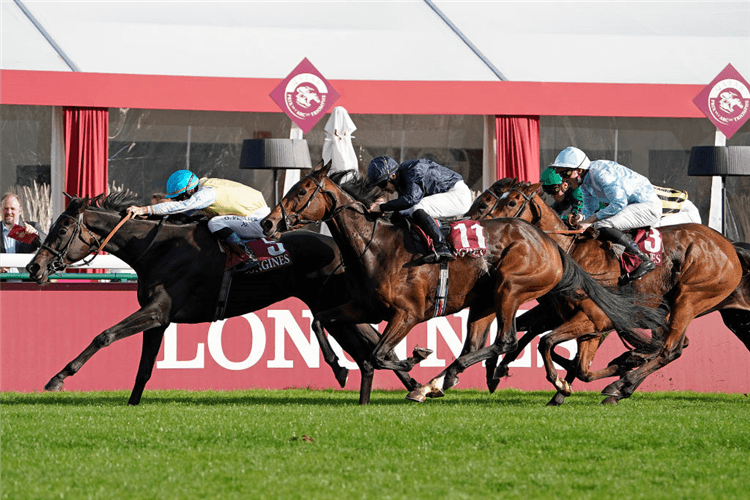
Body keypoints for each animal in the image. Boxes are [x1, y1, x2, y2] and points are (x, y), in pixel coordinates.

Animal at [26, 189, 424, 404]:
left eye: (62, 227)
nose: (33, 267)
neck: (156, 248)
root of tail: (348, 246)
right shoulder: (159, 319)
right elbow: (144, 368)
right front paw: (133, 402)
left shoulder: (158, 310)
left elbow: (104, 335)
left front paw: (58, 378)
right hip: (334, 306)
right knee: (372, 346)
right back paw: (415, 385)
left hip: (334, 303)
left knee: (372, 344)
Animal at [262, 164, 668, 402]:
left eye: (301, 192)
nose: (268, 222)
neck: (375, 245)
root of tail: (552, 243)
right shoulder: (365, 307)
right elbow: (321, 321)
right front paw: (338, 366)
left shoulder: (407, 314)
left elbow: (378, 353)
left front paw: (415, 361)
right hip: (485, 301)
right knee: (479, 344)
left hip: (509, 287)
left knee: (505, 339)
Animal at [470, 178, 750, 404]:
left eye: (511, 202)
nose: (484, 227)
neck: (570, 253)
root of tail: (730, 246)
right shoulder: (560, 314)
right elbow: (542, 341)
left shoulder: (596, 319)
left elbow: (553, 347)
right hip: (734, 318)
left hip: (689, 298)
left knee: (671, 349)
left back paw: (621, 386)